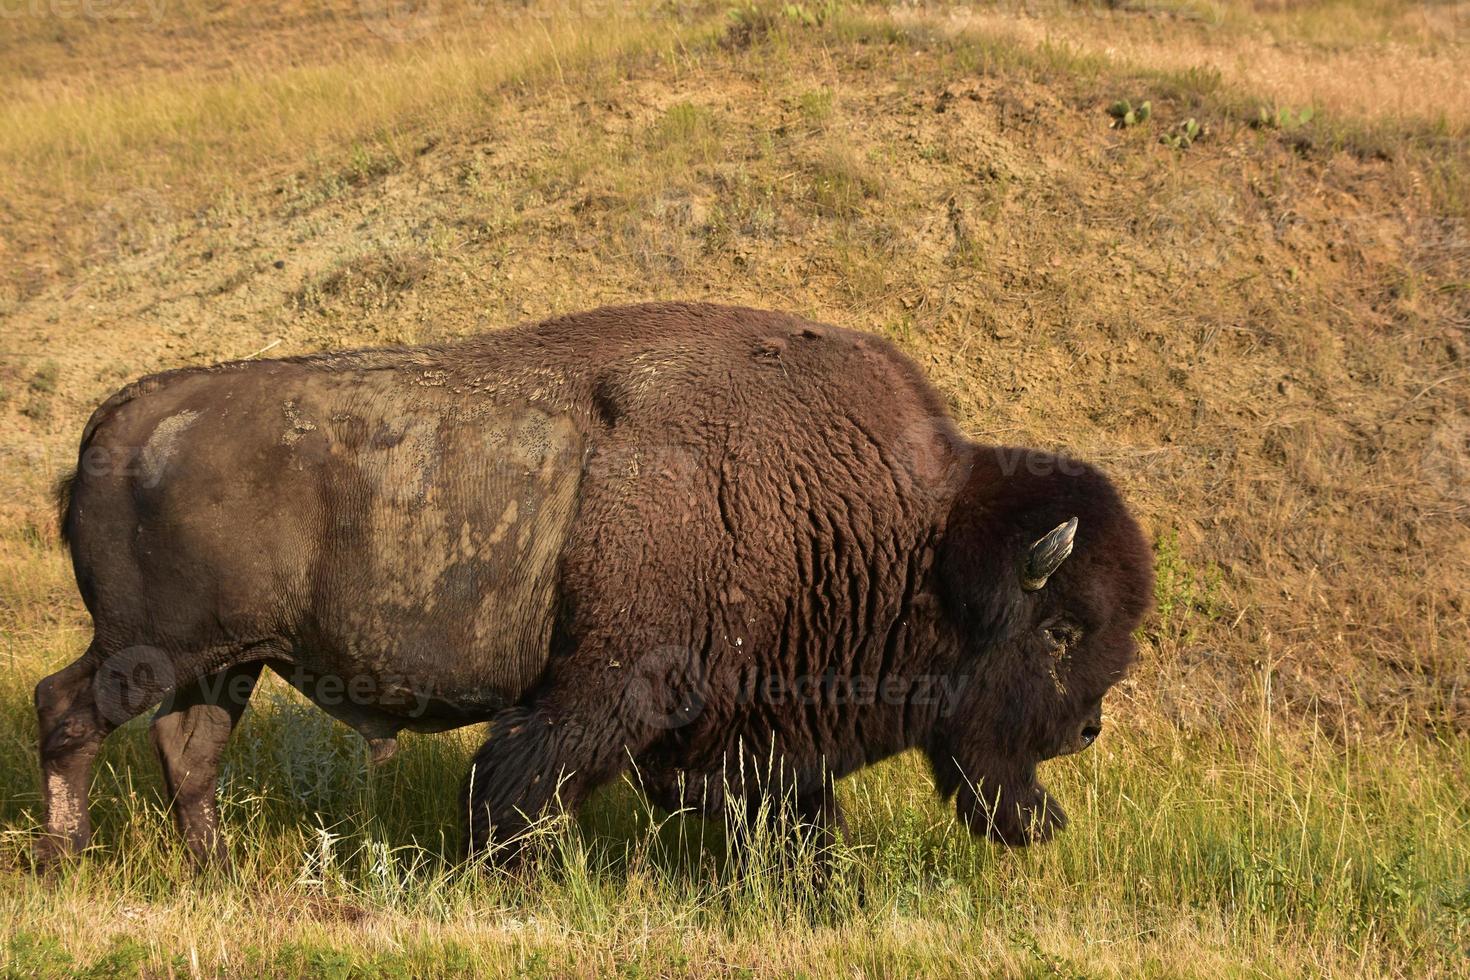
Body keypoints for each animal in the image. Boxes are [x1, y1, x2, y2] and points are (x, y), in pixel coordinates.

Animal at [34, 302, 1152, 869]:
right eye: (1061, 630)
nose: (1086, 728)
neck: (911, 533)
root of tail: (121, 415)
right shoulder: (608, 686)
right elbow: (518, 788)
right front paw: (505, 881)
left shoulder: (747, 728)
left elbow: (792, 810)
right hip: (151, 650)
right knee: (66, 710)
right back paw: (63, 858)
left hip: (227, 663)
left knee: (188, 755)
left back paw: (212, 870)